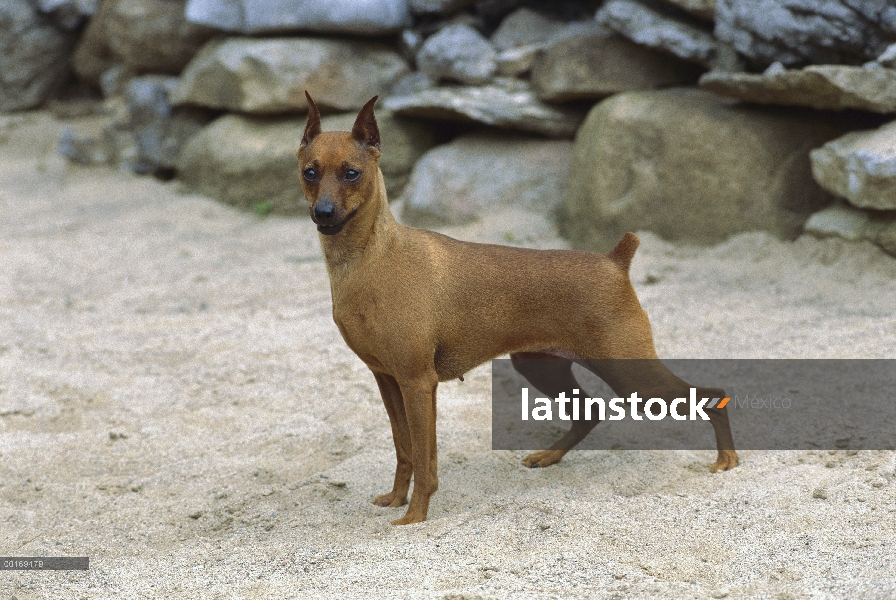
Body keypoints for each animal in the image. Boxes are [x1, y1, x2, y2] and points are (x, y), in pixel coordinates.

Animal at [298, 91, 740, 524]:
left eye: (352, 173)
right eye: (310, 172)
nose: (323, 213)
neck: (368, 257)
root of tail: (614, 260)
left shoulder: (418, 382)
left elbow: (424, 459)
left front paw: (415, 516)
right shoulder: (388, 380)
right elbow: (405, 450)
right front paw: (396, 499)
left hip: (632, 377)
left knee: (712, 396)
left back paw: (727, 460)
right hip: (543, 367)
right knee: (590, 411)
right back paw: (549, 457)